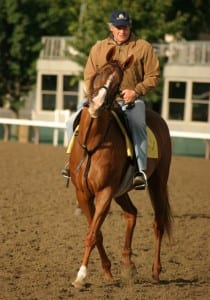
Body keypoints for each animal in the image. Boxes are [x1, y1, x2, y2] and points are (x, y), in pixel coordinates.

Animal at [69, 47, 172, 288]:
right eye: (99, 72)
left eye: (117, 83)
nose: (96, 105)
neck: (93, 144)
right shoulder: (83, 194)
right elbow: (96, 233)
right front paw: (107, 271)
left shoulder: (105, 193)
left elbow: (92, 233)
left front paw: (81, 276)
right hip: (121, 191)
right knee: (131, 214)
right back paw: (128, 265)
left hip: (158, 183)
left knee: (158, 223)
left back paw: (156, 271)